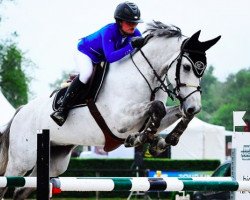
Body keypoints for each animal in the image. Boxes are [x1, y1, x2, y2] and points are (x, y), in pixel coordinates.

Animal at [0, 21, 219, 199]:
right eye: (187, 67)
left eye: (202, 70)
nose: (193, 106)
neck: (145, 76)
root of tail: (20, 111)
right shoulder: (119, 122)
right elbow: (157, 108)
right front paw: (140, 139)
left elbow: (168, 113)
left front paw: (162, 141)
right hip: (21, 161)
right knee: (8, 183)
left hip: (55, 161)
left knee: (22, 190)